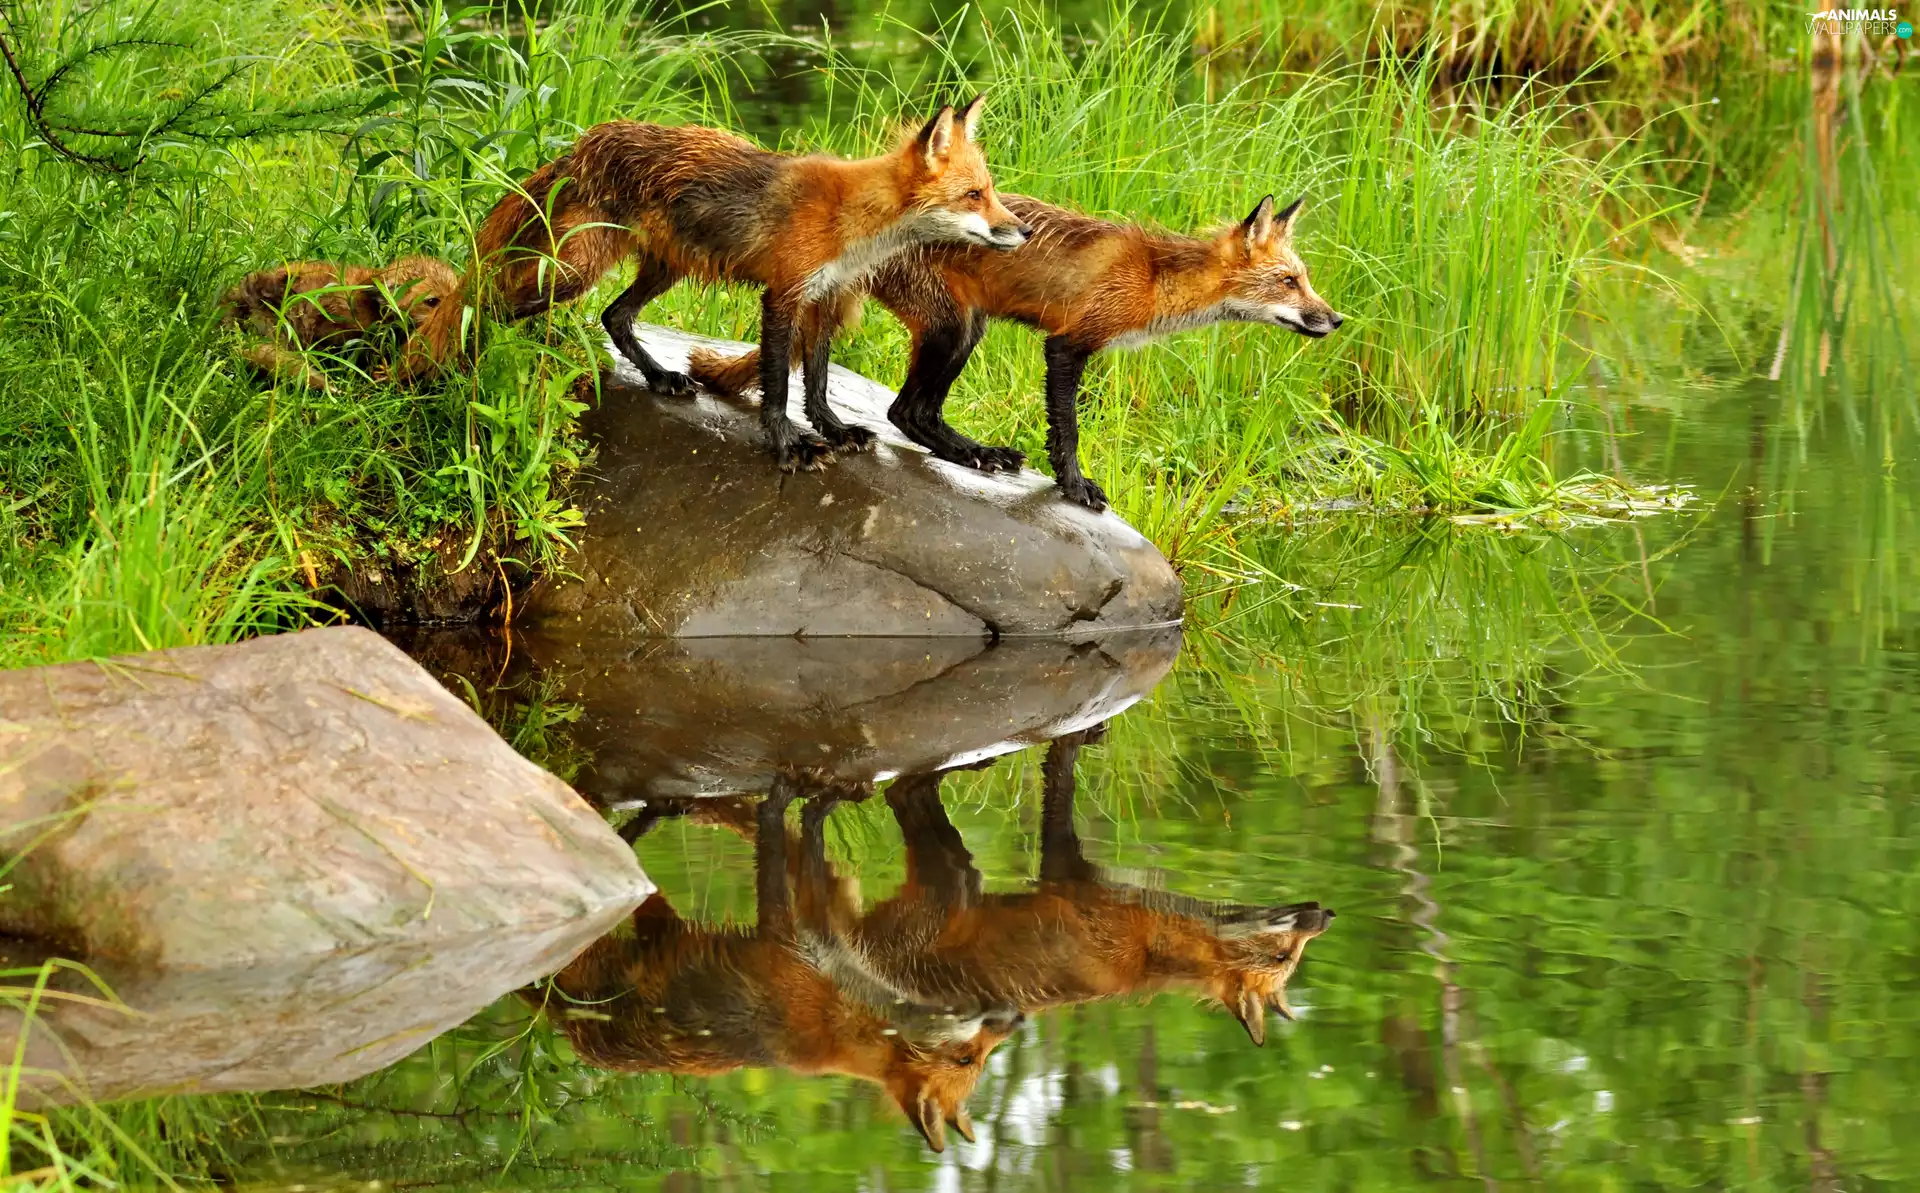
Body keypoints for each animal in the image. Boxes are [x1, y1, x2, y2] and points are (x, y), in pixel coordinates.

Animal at [397, 97, 1030, 472]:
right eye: (974, 195)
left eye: (992, 192)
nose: (1022, 232)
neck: (853, 223)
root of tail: (584, 144)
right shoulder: (784, 294)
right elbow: (778, 386)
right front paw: (787, 443)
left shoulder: (823, 298)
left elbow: (818, 381)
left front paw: (832, 429)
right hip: (573, 272)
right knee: (482, 305)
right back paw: (444, 371)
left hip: (662, 268)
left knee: (613, 316)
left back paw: (659, 376)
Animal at [687, 192, 1342, 509]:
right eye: (1289, 282)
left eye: (1306, 279)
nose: (1336, 319)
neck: (1155, 279)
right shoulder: (1069, 343)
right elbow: (1068, 430)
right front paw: (1075, 488)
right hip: (953, 327)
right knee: (905, 410)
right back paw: (974, 454)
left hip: (956, 328)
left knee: (863, 390)